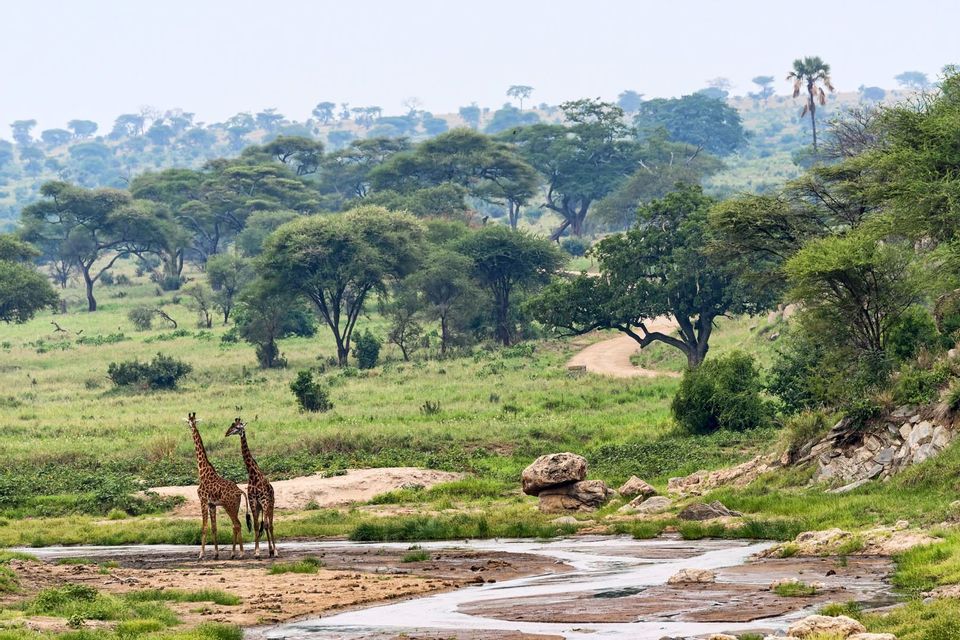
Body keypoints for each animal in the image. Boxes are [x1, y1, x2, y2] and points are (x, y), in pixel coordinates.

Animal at [186, 412, 248, 560]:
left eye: (191, 421)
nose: (190, 426)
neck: (202, 471)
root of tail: (239, 491)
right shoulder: (212, 504)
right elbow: (214, 528)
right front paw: (215, 554)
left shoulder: (203, 500)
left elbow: (204, 527)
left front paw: (201, 554)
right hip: (235, 506)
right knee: (236, 525)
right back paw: (235, 553)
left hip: (228, 506)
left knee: (237, 524)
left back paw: (240, 553)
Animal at [225, 417, 278, 558]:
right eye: (232, 425)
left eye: (238, 427)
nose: (227, 433)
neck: (252, 474)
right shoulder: (254, 502)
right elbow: (255, 525)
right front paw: (257, 552)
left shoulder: (264, 501)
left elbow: (266, 525)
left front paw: (271, 551)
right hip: (260, 507)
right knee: (264, 524)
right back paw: (270, 550)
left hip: (270, 505)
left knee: (270, 524)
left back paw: (275, 551)